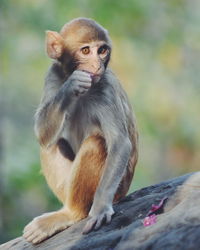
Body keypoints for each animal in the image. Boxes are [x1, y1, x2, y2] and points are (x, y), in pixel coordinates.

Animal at [22, 17, 138, 244]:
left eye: (102, 50)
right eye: (85, 51)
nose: (97, 64)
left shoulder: (106, 87)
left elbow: (120, 143)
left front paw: (100, 209)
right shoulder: (53, 74)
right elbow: (41, 133)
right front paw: (70, 86)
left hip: (116, 191)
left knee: (96, 143)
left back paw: (71, 214)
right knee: (52, 144)